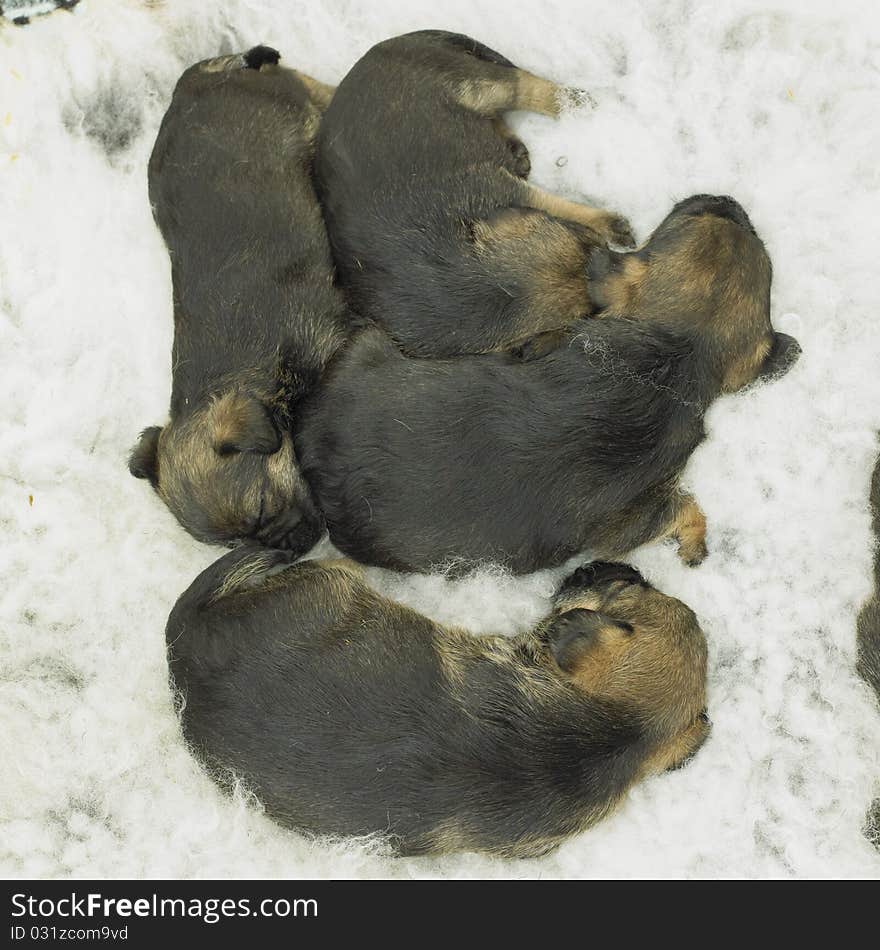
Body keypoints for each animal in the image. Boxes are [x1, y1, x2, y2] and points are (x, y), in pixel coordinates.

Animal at [300, 193, 800, 572]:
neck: (677, 355)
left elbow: (685, 507)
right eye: (697, 218)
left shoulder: (628, 523)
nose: (726, 199)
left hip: (365, 344)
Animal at [312, 27, 636, 360]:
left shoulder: (498, 185)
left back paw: (573, 102)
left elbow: (555, 202)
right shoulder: (502, 187)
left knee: (523, 84)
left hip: (474, 82)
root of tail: (393, 43)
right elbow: (554, 203)